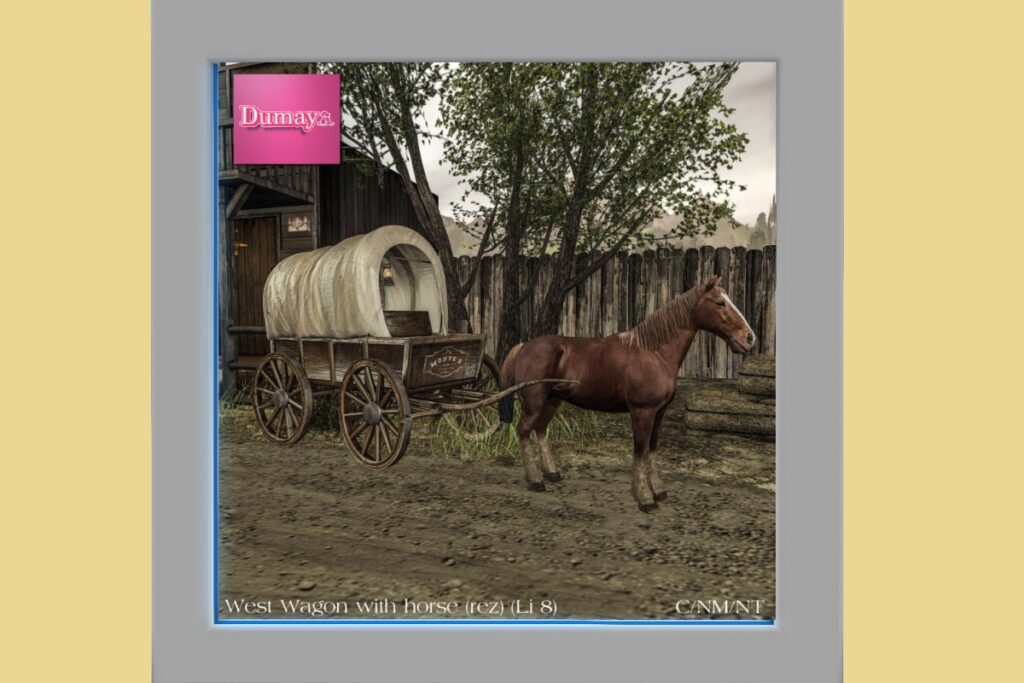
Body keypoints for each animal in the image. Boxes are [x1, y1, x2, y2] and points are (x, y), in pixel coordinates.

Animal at [499, 275, 756, 513]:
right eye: (720, 303)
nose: (749, 337)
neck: (654, 352)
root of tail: (524, 346)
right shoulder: (643, 412)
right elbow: (640, 451)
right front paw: (645, 499)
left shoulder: (659, 412)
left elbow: (652, 448)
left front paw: (658, 490)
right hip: (534, 403)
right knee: (523, 431)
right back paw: (535, 480)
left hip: (552, 401)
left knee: (541, 430)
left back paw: (552, 473)